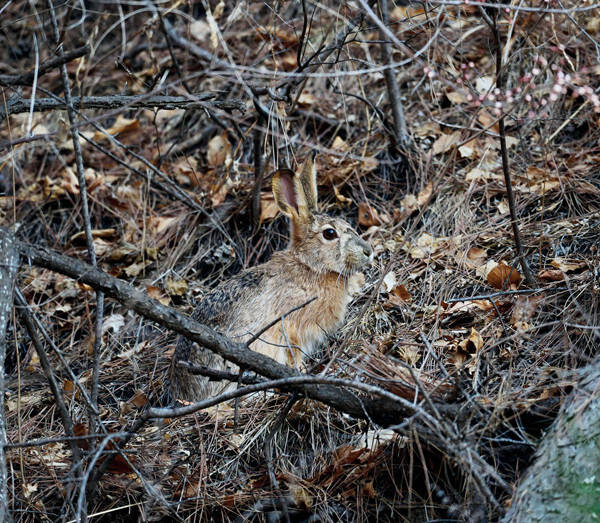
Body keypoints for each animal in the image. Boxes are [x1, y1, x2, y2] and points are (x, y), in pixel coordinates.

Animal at [169, 154, 372, 404]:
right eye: (329, 233)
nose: (368, 251)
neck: (310, 265)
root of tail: (186, 396)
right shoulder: (292, 327)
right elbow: (294, 353)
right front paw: (303, 373)